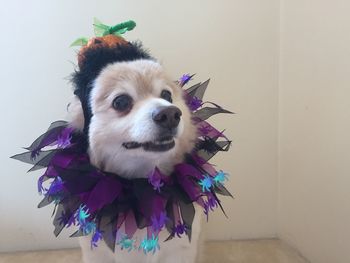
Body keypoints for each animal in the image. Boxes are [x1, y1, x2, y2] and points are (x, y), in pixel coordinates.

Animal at [67, 59, 204, 263]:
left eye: (166, 95)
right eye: (121, 102)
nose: (170, 114)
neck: (140, 186)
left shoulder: (180, 252)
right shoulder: (97, 254)